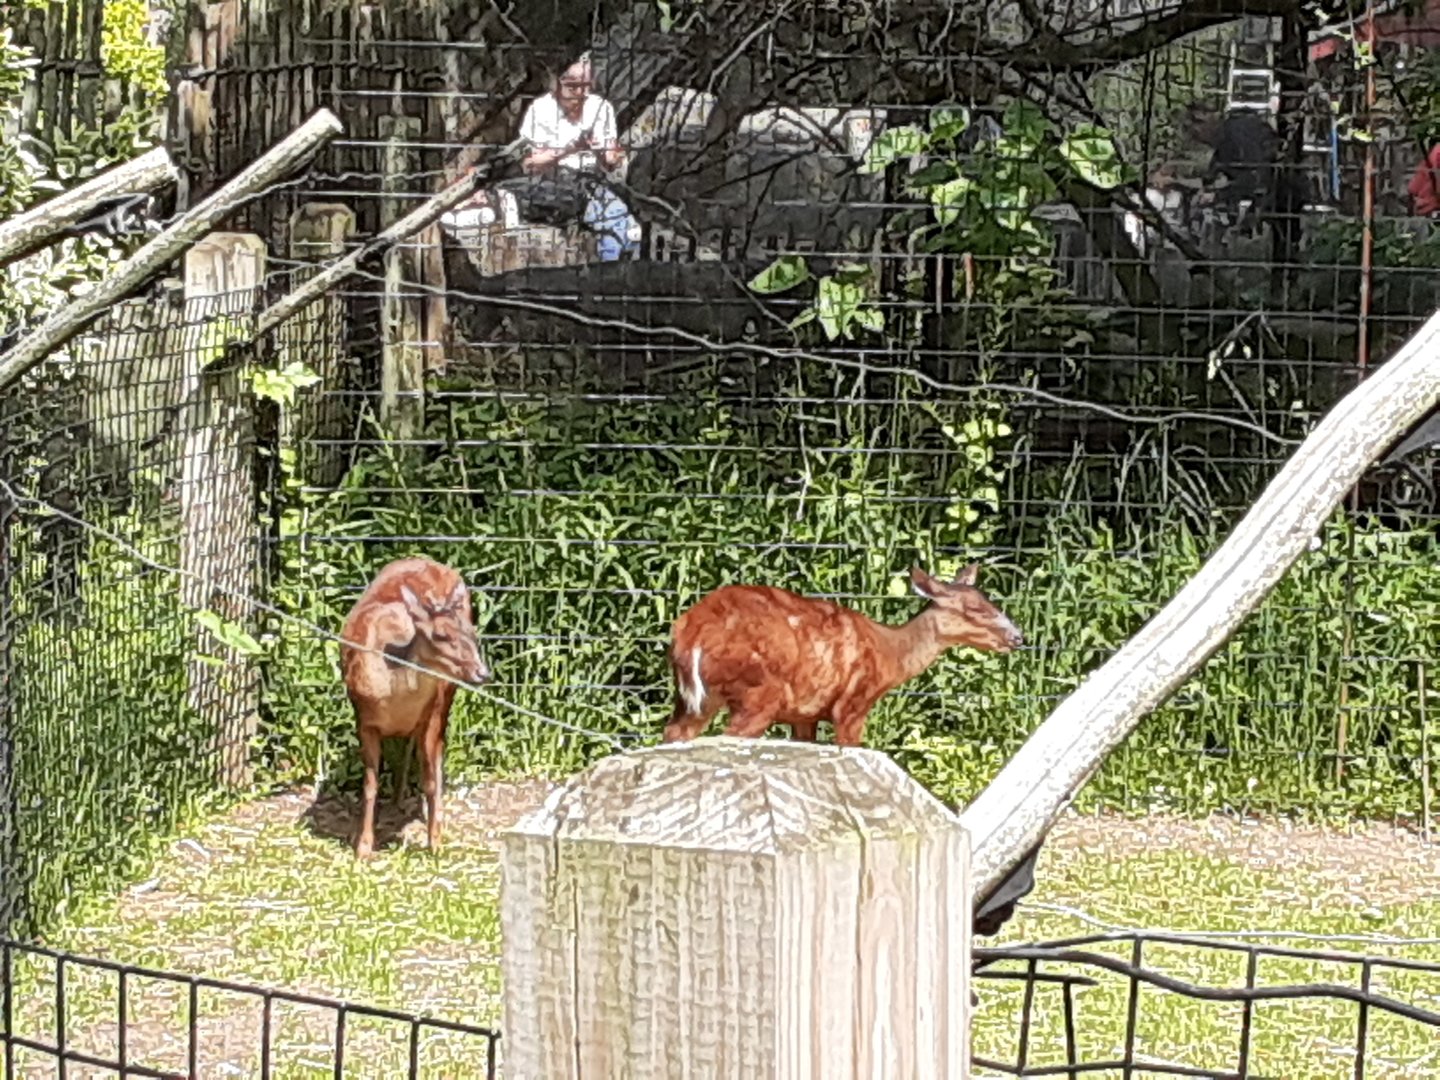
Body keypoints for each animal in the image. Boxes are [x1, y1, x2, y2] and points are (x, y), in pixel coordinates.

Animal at [340, 557, 489, 859]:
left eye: (472, 632)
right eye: (440, 635)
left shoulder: (431, 713)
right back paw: (397, 799)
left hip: (446, 698)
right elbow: (370, 786)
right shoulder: (364, 720)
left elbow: (430, 780)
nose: (482, 673)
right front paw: (363, 847)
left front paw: (434, 843)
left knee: (438, 757)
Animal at [660, 563, 1022, 748]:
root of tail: (690, 632)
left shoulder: (804, 714)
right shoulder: (853, 702)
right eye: (976, 608)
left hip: (694, 699)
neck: (890, 653)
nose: (1018, 637)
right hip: (757, 690)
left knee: (674, 733)